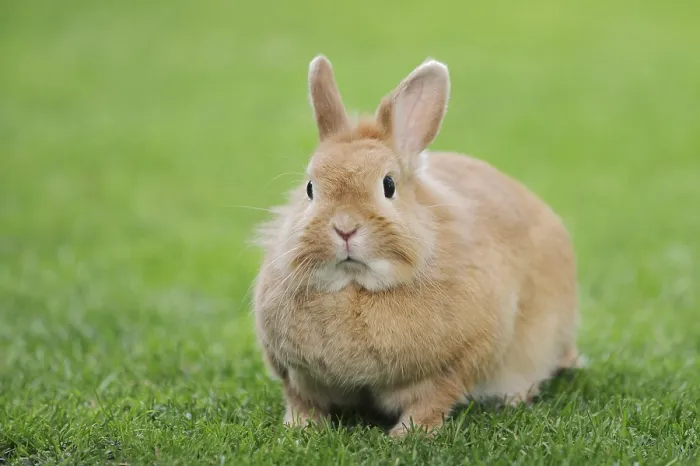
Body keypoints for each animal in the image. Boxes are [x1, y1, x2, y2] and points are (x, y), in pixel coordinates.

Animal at [252, 55, 581, 437]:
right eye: (309, 189)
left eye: (388, 185)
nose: (345, 227)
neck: (355, 286)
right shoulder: (294, 374)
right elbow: (301, 401)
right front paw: (299, 429)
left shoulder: (454, 366)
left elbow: (431, 401)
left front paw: (407, 436)